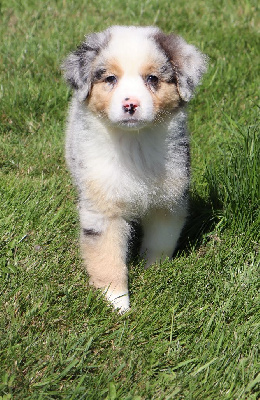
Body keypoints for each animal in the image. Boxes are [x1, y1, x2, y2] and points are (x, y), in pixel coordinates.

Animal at [61, 25, 207, 312]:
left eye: (152, 78)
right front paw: (117, 304)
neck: (134, 143)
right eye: (110, 79)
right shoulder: (103, 209)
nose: (130, 104)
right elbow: (107, 258)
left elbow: (160, 242)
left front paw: (155, 272)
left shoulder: (169, 201)